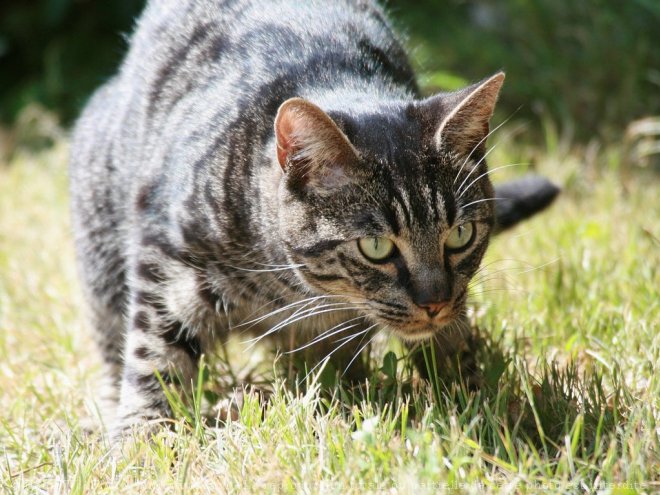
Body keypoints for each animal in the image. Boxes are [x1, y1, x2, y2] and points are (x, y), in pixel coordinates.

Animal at [71, 0, 556, 434]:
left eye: (459, 235)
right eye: (376, 247)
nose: (433, 303)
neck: (285, 288)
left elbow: (451, 344)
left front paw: (472, 393)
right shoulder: (166, 258)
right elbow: (155, 355)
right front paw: (142, 439)